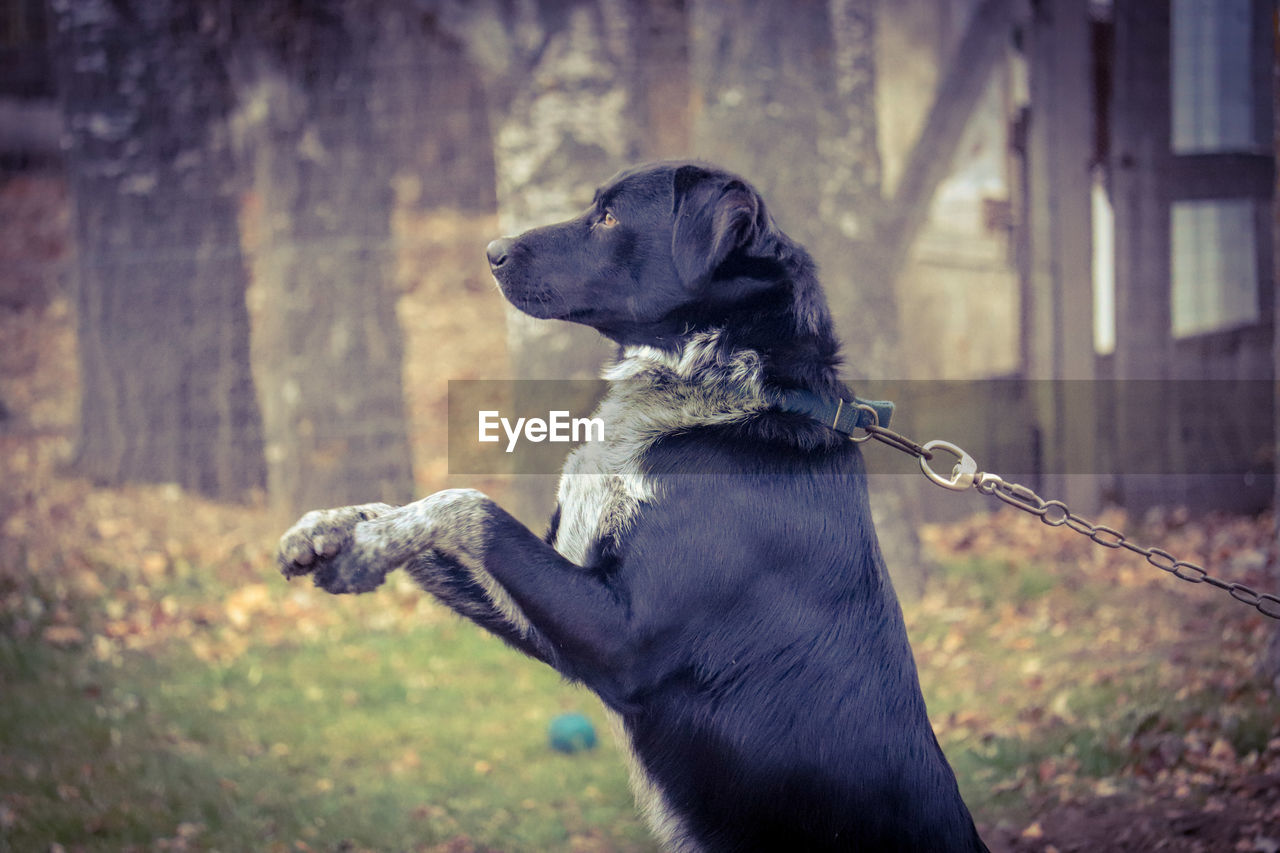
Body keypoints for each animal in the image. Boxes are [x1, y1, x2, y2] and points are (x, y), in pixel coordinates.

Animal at [280, 161, 988, 850]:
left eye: (609, 216)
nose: (491, 251)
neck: (723, 397)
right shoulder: (561, 620)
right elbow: (424, 512)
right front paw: (332, 528)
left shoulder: (621, 645)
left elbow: (470, 506)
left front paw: (366, 548)